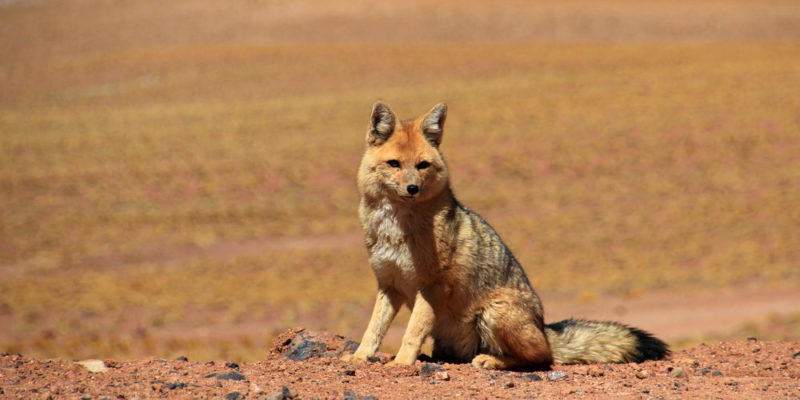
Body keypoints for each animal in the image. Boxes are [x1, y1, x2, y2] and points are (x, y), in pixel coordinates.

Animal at [340, 101, 672, 370]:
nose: (412, 188)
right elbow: (373, 329)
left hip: (495, 311)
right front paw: (359, 357)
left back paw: (491, 360)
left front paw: (402, 363)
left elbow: (412, 331)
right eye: (394, 164)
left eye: (422, 166)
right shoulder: (390, 285)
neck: (395, 228)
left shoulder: (432, 287)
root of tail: (544, 328)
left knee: (541, 358)